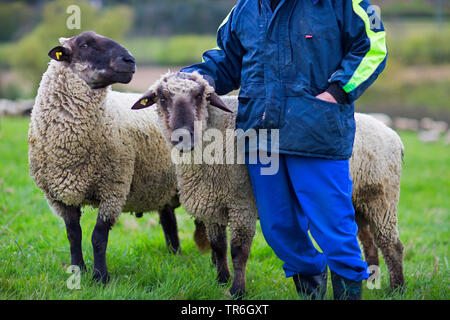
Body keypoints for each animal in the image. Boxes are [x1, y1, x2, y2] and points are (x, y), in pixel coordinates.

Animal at [132, 72, 406, 296]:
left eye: (200, 96)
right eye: (161, 97)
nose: (183, 136)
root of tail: (393, 135)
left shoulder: (241, 204)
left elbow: (238, 251)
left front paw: (237, 291)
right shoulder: (212, 204)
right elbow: (218, 247)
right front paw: (221, 281)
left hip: (381, 198)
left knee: (391, 245)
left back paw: (396, 288)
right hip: (359, 201)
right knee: (368, 243)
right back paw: (370, 281)